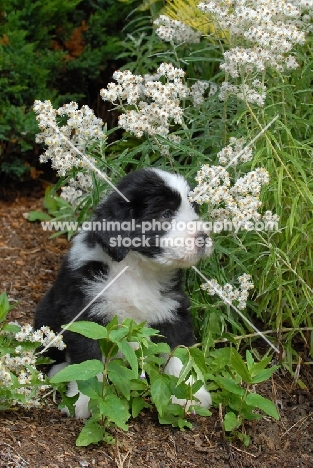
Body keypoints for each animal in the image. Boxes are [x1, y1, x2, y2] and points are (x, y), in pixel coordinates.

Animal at [34, 168, 212, 416]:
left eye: (194, 209)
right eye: (166, 214)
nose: (203, 239)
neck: (137, 271)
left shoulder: (173, 310)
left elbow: (178, 353)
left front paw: (189, 395)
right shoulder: (83, 311)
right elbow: (87, 360)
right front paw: (82, 401)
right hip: (45, 317)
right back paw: (59, 371)